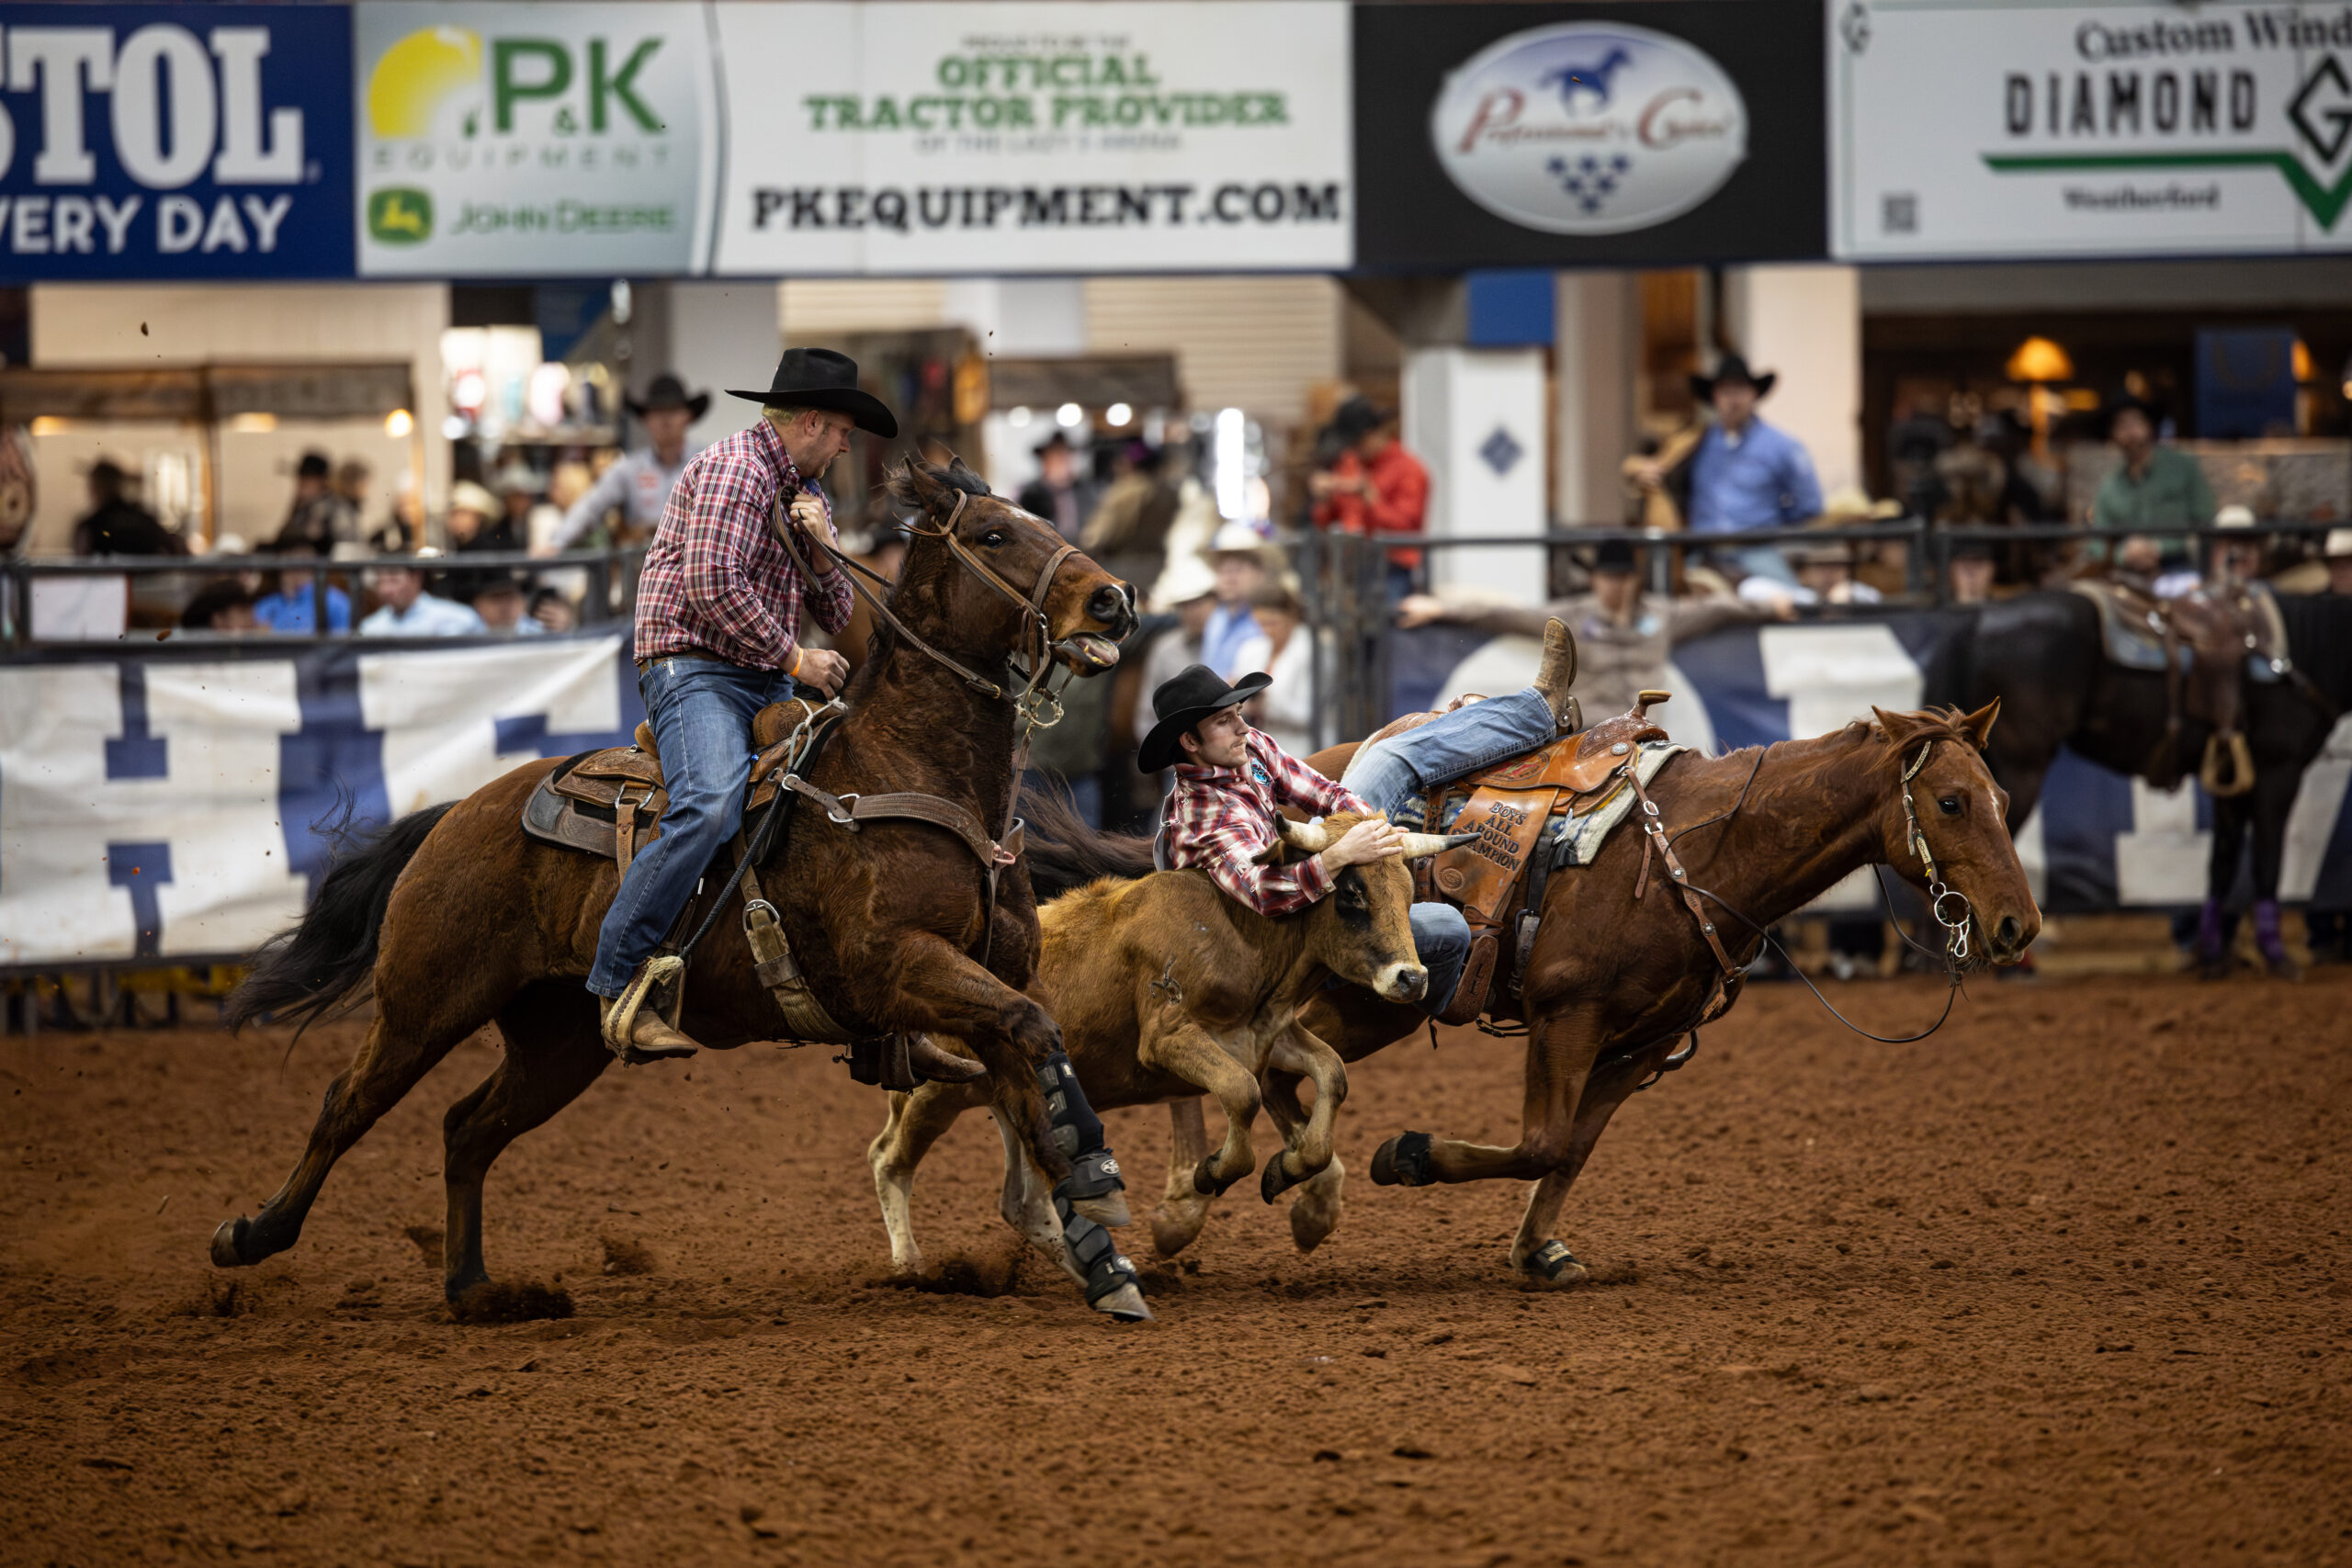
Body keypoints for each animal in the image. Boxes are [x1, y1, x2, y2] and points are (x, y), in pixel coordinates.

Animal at [214, 456, 1153, 1321]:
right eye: (994, 534)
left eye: (1040, 518)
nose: (1115, 599)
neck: (911, 771)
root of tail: (456, 814)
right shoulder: (902, 965)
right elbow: (1037, 1039)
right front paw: (1100, 1173)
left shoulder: (992, 980)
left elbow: (1031, 1076)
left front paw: (1101, 1253)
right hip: (424, 1001)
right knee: (347, 1104)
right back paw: (251, 1236)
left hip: (558, 1040)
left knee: (468, 1129)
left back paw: (477, 1287)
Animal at [1027, 703, 2039, 1285]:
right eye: (1950, 802)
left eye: (1999, 797)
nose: (2016, 926)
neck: (1698, 854)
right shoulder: (1568, 1016)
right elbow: (1541, 1139)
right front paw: (1408, 1156)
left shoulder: (1643, 1041)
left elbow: (1571, 1148)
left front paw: (1538, 1249)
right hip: (1372, 998)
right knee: (1248, 1064)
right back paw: (1220, 1199)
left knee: (1256, 1069)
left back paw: (1243, 1192)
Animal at [1926, 590, 2352, 976]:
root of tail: (1982, 620)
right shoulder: (2277, 771)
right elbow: (2267, 860)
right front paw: (2276, 955)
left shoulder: (2233, 780)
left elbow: (2222, 861)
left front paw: (2214, 955)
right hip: (2020, 767)